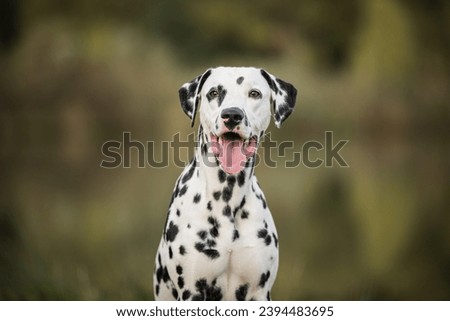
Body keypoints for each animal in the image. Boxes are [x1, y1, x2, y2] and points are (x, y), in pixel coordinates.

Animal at [153, 66, 298, 298]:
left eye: (254, 93)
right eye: (213, 93)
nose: (232, 115)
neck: (227, 196)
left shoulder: (259, 291)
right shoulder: (192, 290)